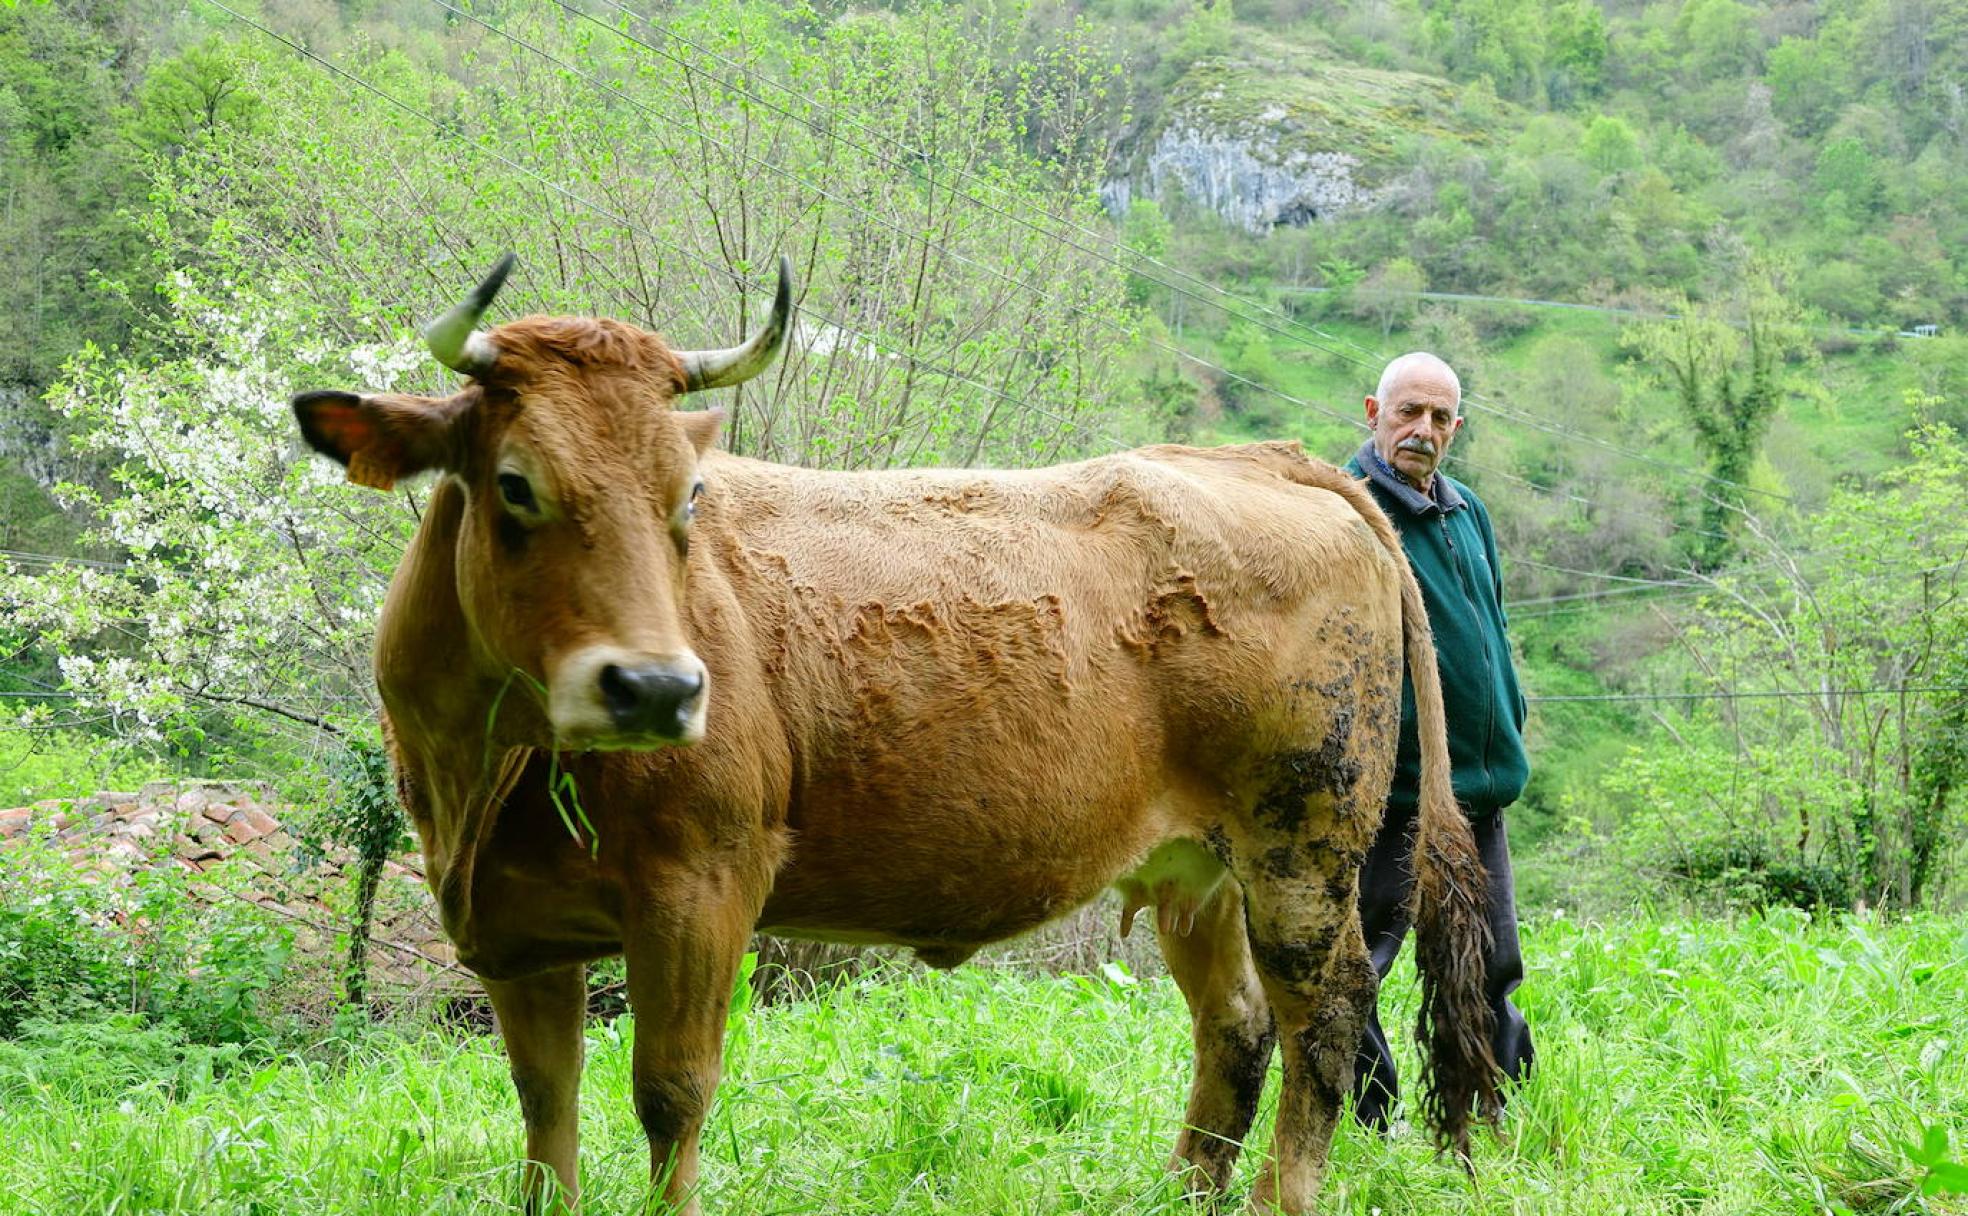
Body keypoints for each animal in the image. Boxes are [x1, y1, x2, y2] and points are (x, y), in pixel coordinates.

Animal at [287, 257, 1487, 1212]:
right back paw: (1183, 1194)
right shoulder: (516, 936)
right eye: (514, 485)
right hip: (1199, 868)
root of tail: (1259, 458)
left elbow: (671, 1093)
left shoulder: (702, 885)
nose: (657, 688)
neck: (485, 773)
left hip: (1302, 851)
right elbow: (547, 1115)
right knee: (1235, 1027)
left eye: (690, 496)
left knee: (1325, 1020)